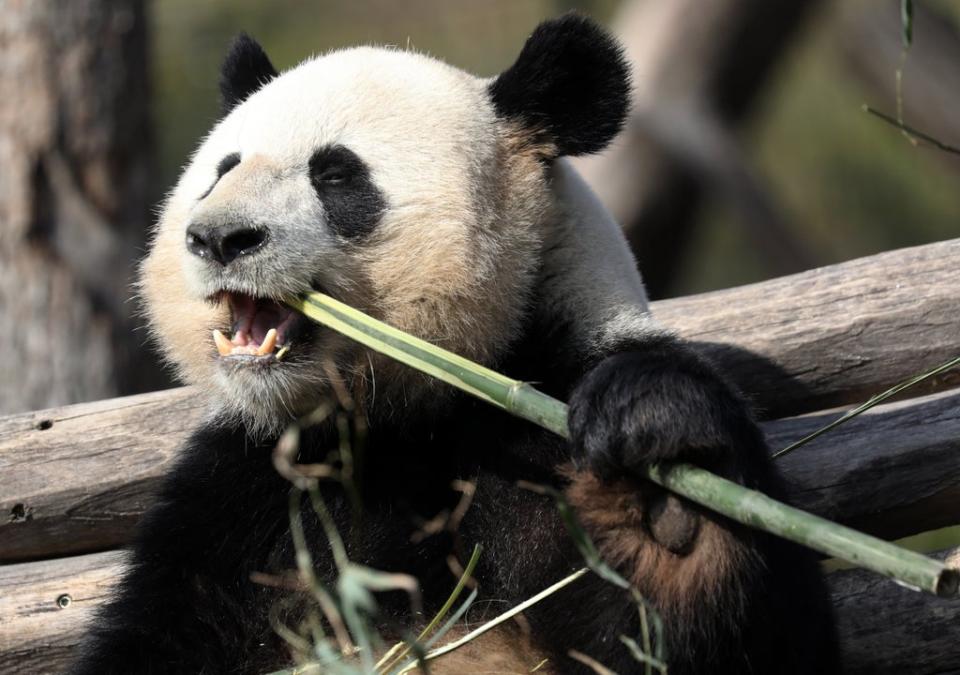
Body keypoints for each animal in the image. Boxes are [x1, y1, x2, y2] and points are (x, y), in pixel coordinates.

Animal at [73, 14, 840, 675]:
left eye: (336, 174)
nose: (218, 238)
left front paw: (664, 495)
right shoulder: (244, 498)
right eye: (221, 168)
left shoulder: (543, 421)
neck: (406, 413)